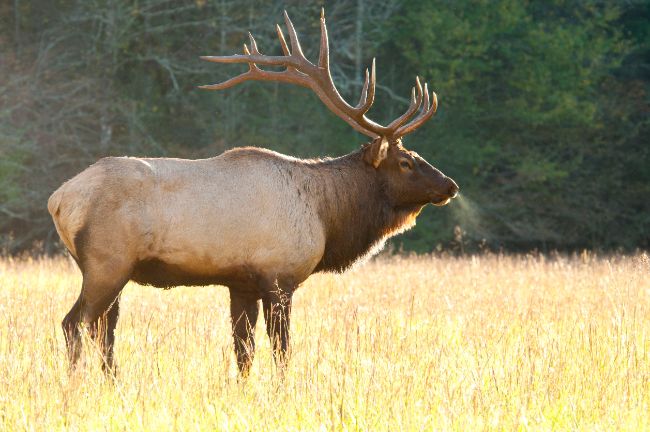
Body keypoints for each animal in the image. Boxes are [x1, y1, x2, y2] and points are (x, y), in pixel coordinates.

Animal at [47, 9, 459, 376]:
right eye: (406, 162)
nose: (450, 186)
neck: (326, 215)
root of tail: (59, 200)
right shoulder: (279, 278)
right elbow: (281, 352)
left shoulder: (241, 283)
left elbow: (243, 353)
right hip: (107, 263)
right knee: (75, 323)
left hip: (111, 270)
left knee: (103, 330)